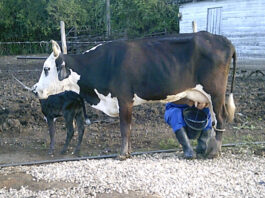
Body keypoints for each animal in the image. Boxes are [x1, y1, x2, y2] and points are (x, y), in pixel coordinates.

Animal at [31, 31, 235, 160]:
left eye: (46, 69)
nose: (34, 89)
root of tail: (221, 39)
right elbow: (128, 128)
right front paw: (128, 152)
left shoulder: (124, 99)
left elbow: (124, 127)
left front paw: (122, 154)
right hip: (206, 97)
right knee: (211, 120)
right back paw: (206, 149)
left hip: (216, 93)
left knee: (221, 118)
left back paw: (214, 152)